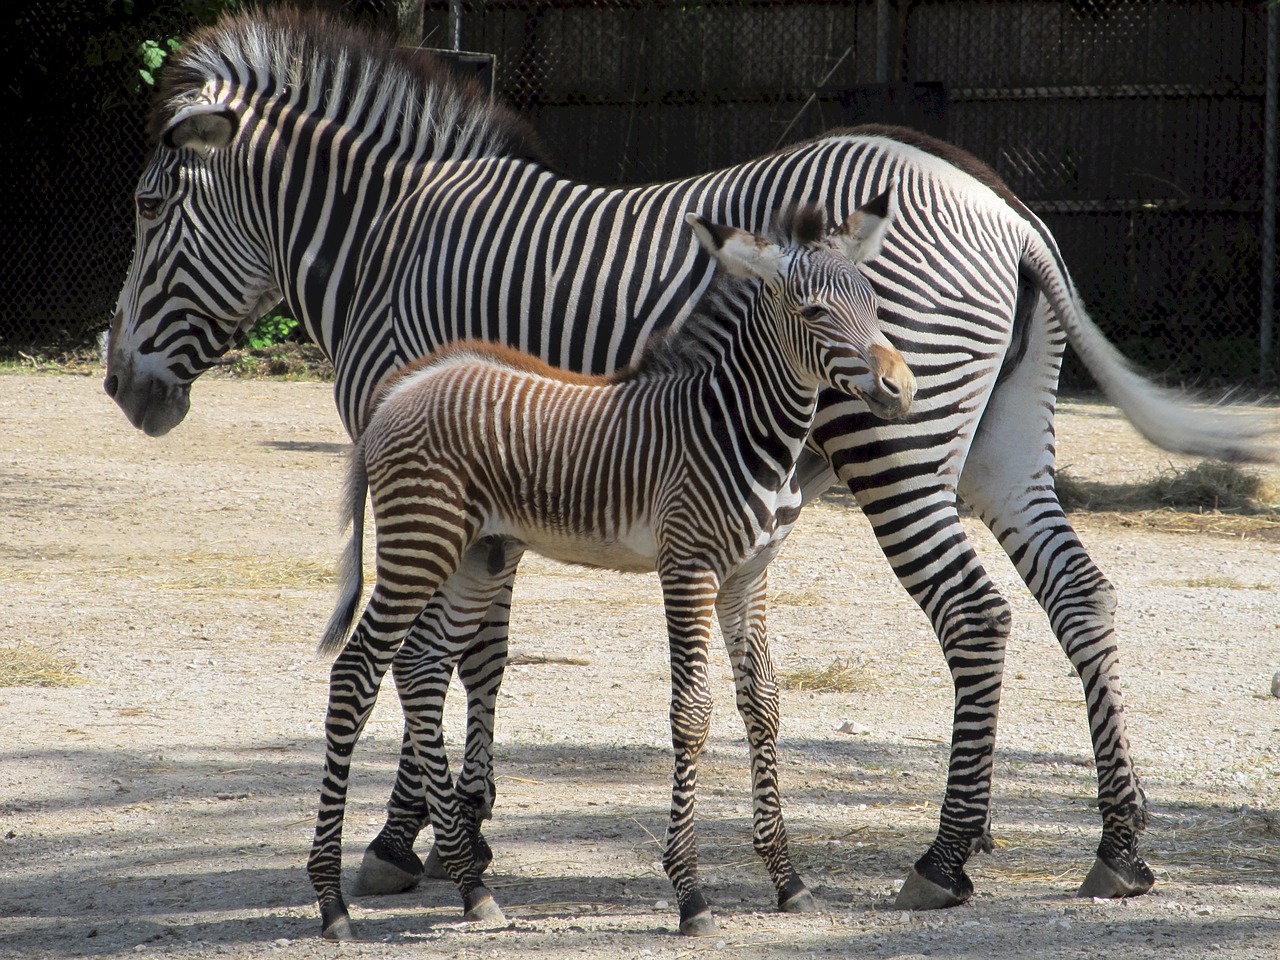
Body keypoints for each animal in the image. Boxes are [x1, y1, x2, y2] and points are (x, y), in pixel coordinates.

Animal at [307, 199, 911, 942]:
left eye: (874, 304)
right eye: (814, 311)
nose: (901, 389)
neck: (737, 426)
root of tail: (404, 387)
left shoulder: (749, 576)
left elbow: (763, 705)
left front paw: (787, 879)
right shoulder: (688, 567)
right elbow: (692, 713)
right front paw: (690, 893)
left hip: (478, 555)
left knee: (418, 669)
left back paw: (473, 887)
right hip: (421, 543)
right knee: (357, 671)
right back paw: (332, 902)